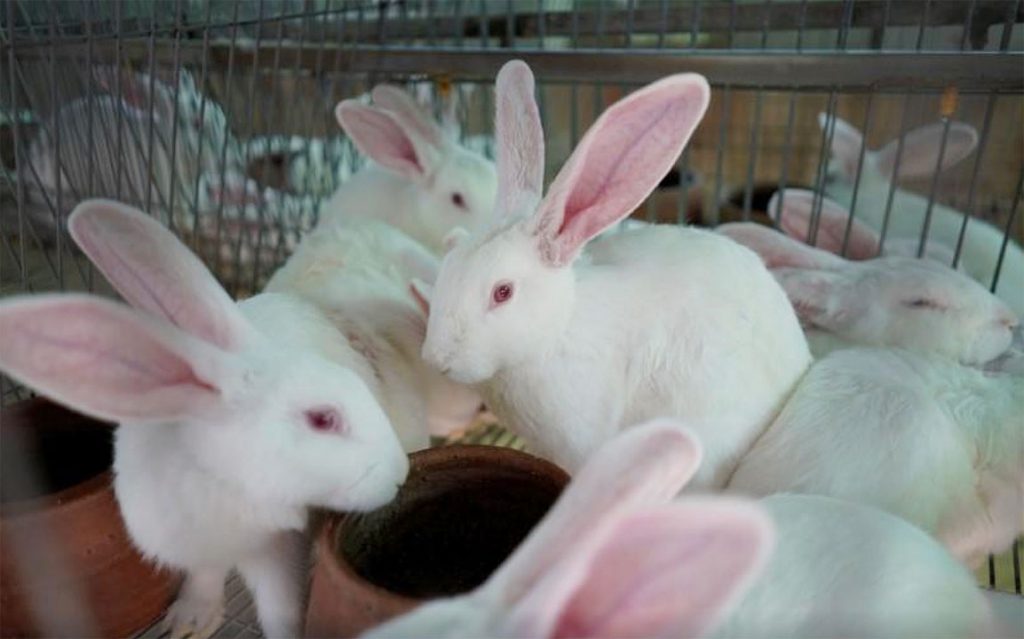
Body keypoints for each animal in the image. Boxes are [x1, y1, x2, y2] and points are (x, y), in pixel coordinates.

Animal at [0, 199, 409, 639]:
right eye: (322, 420)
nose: (401, 472)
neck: (214, 476)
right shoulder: (200, 551)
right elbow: (206, 577)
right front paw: (190, 621)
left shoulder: (277, 548)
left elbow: (280, 607)